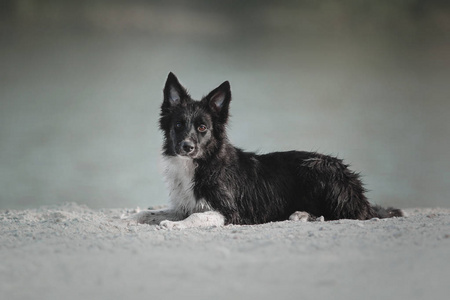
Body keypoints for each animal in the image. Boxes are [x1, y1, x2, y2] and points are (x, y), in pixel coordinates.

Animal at [127, 73, 404, 230]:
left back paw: (302, 215)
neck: (202, 163)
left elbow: (196, 218)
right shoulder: (183, 205)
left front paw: (173, 225)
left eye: (203, 127)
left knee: (344, 215)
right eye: (178, 125)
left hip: (317, 167)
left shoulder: (229, 212)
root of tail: (358, 191)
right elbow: (150, 212)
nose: (187, 146)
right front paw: (130, 219)